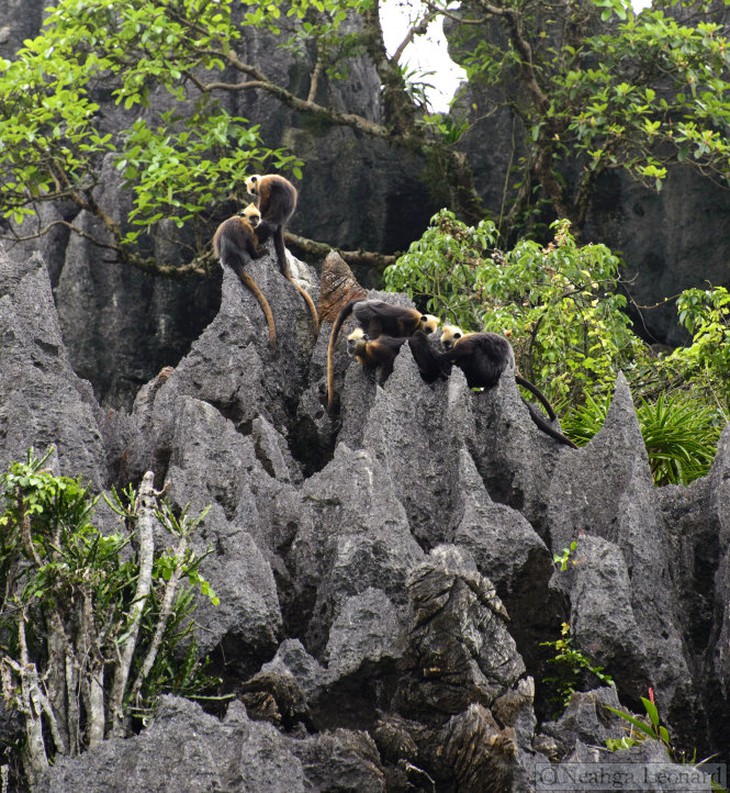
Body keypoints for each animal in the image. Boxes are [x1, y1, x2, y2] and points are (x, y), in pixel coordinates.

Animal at [213, 203, 278, 352]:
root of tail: (230, 256)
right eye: (252, 218)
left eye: (256, 217)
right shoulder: (246, 228)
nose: (255, 221)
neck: (244, 220)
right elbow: (250, 239)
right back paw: (258, 254)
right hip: (244, 255)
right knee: (250, 244)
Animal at [245, 173, 318, 334]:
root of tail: (282, 221)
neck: (261, 179)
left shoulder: (264, 187)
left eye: (252, 189)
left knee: (269, 221)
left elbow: (264, 200)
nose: (252, 192)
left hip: (274, 213)